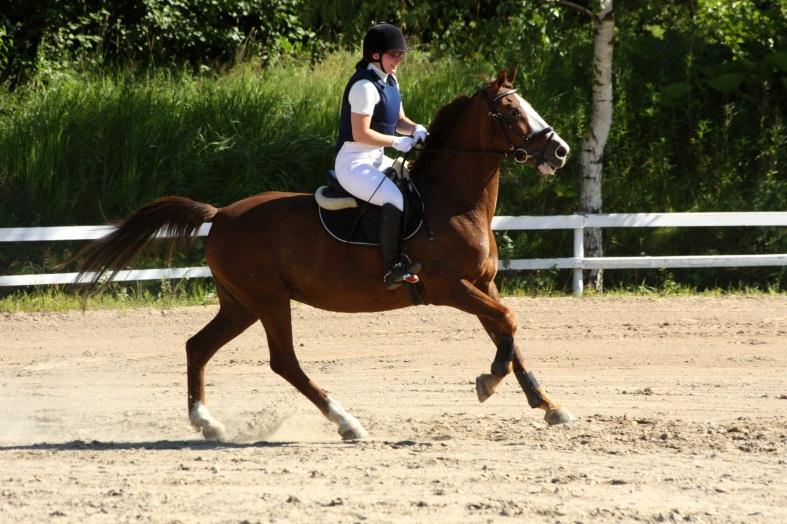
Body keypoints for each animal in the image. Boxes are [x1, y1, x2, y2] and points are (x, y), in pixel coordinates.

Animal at [77, 67, 576, 440]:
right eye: (510, 110)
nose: (560, 151)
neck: (452, 201)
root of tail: (220, 215)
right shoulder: (449, 288)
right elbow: (509, 321)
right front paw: (487, 382)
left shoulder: (482, 284)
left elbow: (509, 336)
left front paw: (549, 406)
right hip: (269, 300)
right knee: (284, 362)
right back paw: (346, 421)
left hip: (241, 303)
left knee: (198, 346)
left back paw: (208, 423)